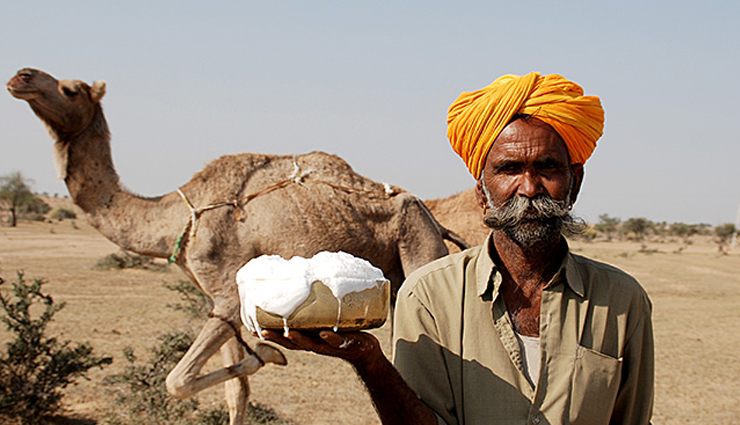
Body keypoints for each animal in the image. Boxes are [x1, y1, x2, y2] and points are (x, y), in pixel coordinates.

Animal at [6, 68, 468, 425]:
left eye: (70, 89)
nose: (20, 76)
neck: (179, 217)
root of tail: (431, 215)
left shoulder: (226, 294)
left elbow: (177, 381)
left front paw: (268, 352)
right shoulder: (217, 300)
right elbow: (234, 392)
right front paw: (263, 354)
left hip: (417, 239)